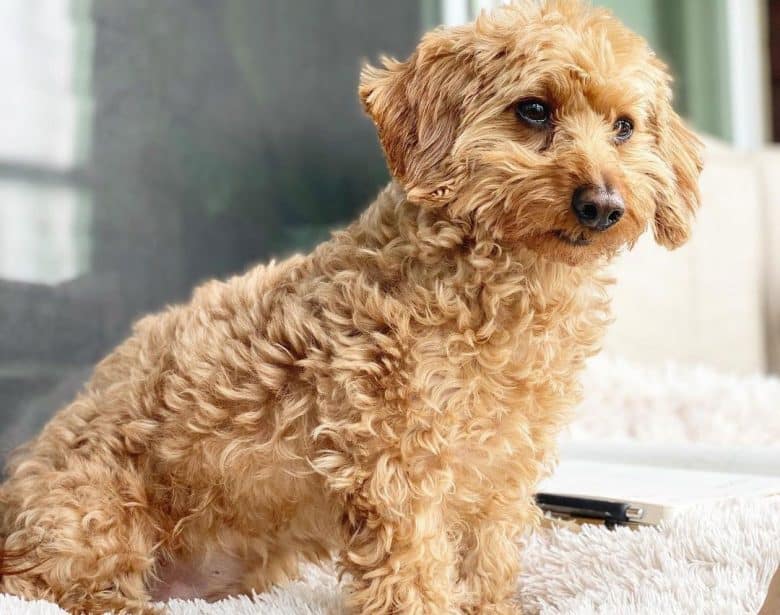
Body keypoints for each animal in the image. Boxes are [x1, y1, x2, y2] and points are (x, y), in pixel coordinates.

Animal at [0, 2, 704, 612]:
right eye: (533, 109)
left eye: (624, 127)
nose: (603, 205)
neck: (502, 291)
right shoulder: (396, 458)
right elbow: (414, 565)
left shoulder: (502, 466)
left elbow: (490, 553)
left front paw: (491, 605)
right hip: (93, 510)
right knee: (49, 583)